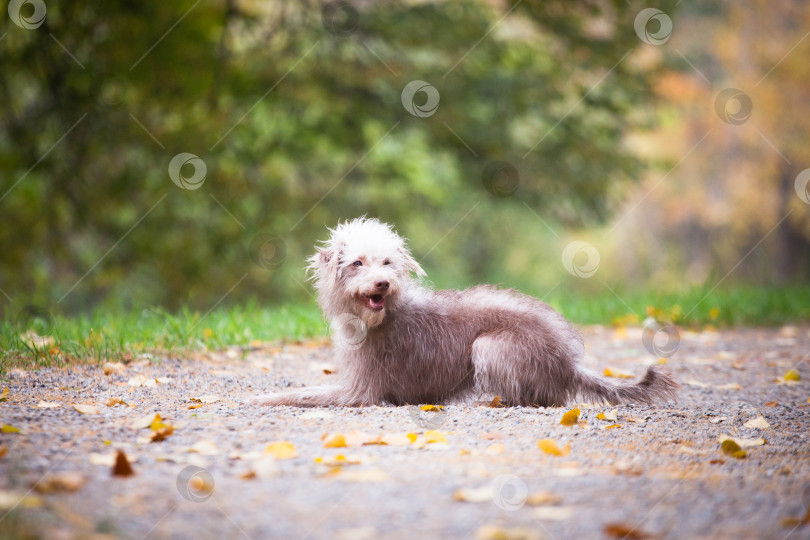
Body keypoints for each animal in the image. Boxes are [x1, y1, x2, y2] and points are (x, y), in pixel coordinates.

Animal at [252, 217, 676, 408]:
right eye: (357, 263)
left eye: (387, 262)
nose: (382, 284)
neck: (384, 316)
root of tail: (569, 365)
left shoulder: (361, 391)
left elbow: (301, 394)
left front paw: (260, 399)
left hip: (487, 347)